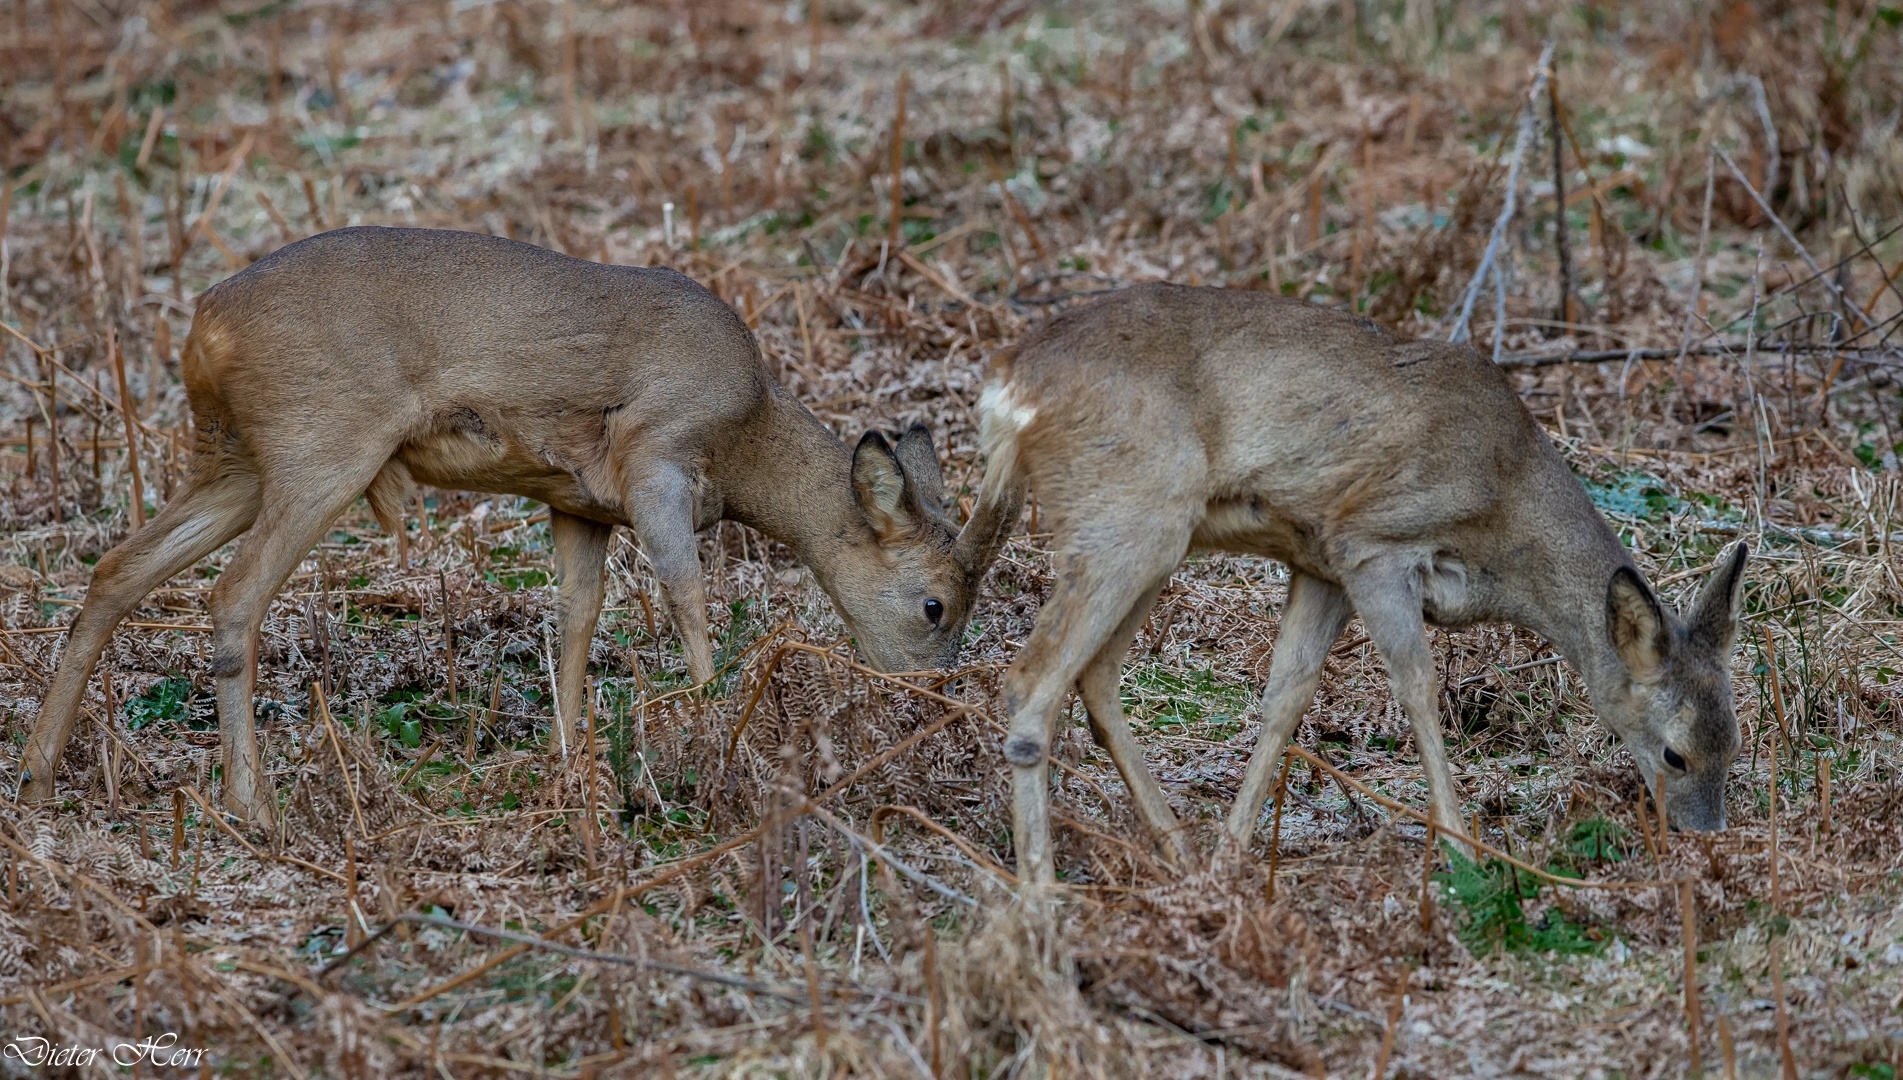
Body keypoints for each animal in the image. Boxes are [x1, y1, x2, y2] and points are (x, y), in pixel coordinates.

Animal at [26, 225, 1012, 817]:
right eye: (935, 605)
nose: (927, 702)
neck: (748, 435)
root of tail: (205, 327)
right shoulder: (657, 459)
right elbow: (688, 594)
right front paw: (714, 727)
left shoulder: (577, 505)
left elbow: (575, 620)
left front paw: (570, 757)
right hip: (322, 449)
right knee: (232, 595)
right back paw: (250, 804)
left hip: (235, 462)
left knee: (115, 570)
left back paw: (38, 768)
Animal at [981, 287, 1750, 886]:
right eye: (1674, 752)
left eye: (1736, 744)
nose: (1706, 839)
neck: (1504, 501)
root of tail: (1010, 380)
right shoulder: (1373, 545)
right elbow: (1417, 685)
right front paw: (1460, 846)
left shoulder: (1321, 564)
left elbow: (1285, 696)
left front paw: (1233, 851)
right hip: (1124, 513)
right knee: (1031, 680)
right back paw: (1040, 902)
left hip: (1151, 534)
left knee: (1094, 675)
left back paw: (1180, 852)